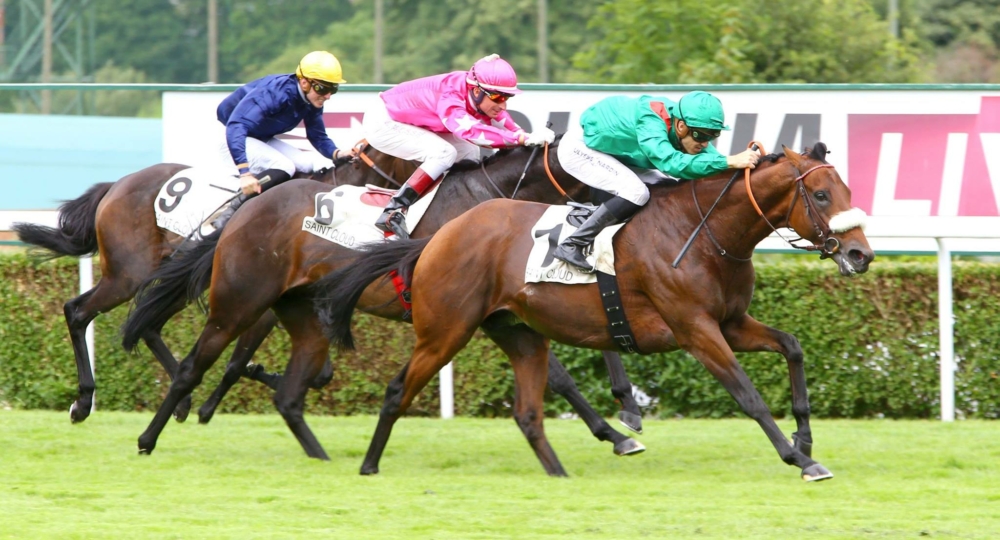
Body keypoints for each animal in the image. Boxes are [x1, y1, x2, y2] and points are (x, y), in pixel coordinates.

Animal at [7, 146, 406, 424]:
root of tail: (117, 185)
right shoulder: (262, 301)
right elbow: (240, 361)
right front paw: (217, 401)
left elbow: (319, 371)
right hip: (127, 274)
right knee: (78, 311)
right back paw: (84, 402)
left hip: (175, 276)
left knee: (148, 324)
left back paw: (179, 401)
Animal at [121, 139, 644, 460]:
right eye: (609, 177)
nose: (594, 229)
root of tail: (248, 207)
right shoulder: (486, 310)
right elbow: (560, 377)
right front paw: (613, 433)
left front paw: (628, 406)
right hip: (242, 298)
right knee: (197, 364)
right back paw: (151, 435)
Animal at [314, 142, 876, 476]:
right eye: (820, 194)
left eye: (846, 189)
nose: (860, 255)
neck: (705, 233)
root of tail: (437, 237)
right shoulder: (695, 329)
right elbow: (748, 395)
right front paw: (798, 458)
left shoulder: (731, 322)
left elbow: (793, 347)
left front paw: (805, 437)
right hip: (445, 330)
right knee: (397, 389)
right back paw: (367, 465)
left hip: (511, 328)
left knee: (528, 407)